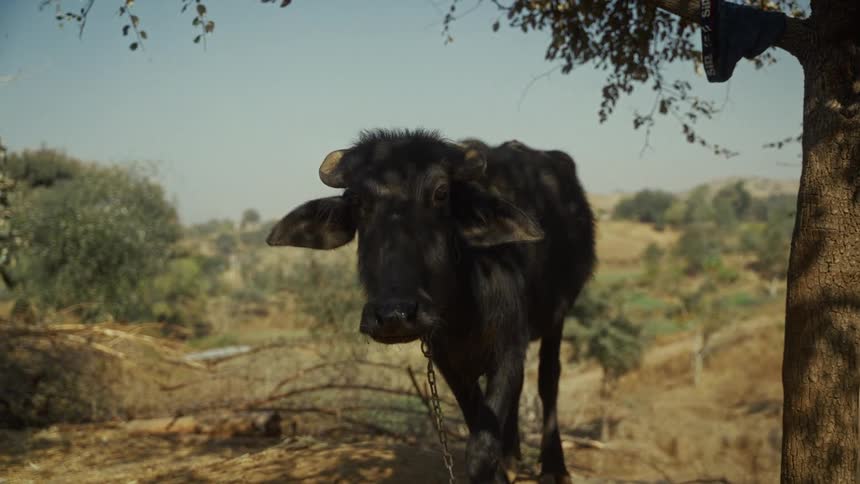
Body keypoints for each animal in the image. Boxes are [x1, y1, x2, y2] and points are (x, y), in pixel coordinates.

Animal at [267, 128, 596, 483]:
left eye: (440, 193)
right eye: (357, 201)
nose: (394, 315)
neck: (464, 304)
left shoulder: (509, 345)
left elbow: (481, 449)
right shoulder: (446, 358)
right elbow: (478, 426)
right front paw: (501, 465)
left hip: (557, 316)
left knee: (549, 380)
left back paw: (554, 467)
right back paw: (511, 456)